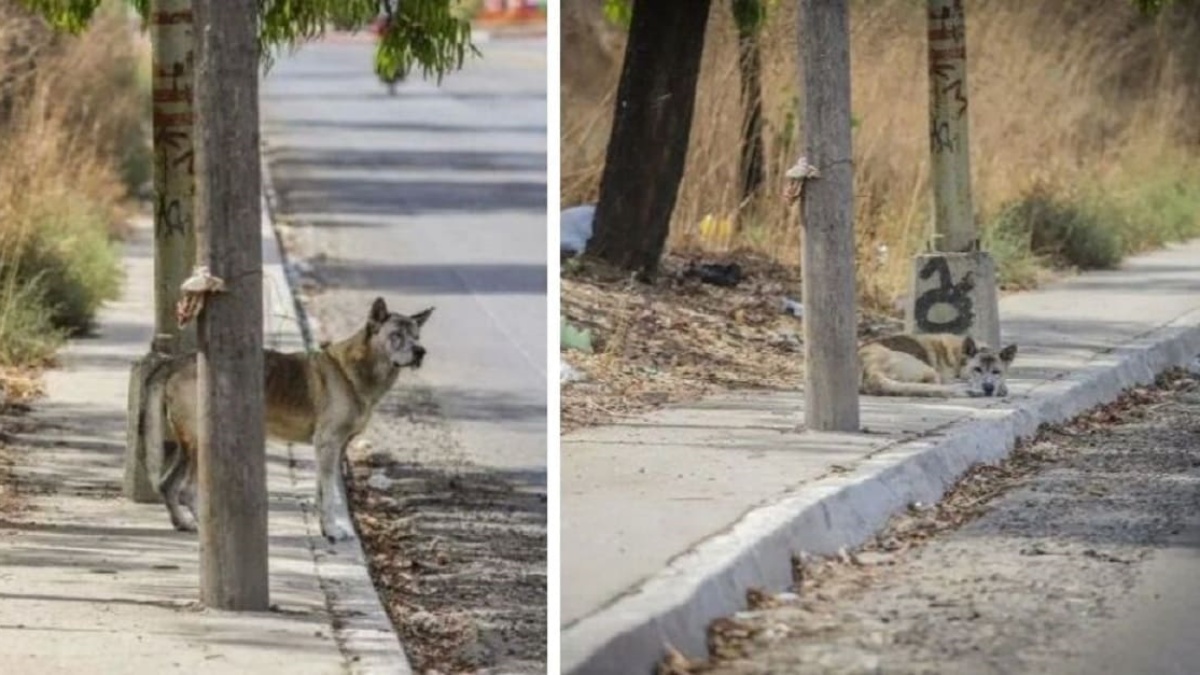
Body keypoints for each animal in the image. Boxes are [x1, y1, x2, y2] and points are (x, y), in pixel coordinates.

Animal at [138, 296, 434, 538]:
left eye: (417, 335)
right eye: (396, 335)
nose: (420, 352)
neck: (356, 370)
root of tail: (175, 361)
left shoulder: (333, 449)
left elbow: (322, 492)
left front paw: (326, 528)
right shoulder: (328, 444)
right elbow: (331, 495)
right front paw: (334, 530)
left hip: (186, 445)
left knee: (167, 484)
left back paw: (182, 523)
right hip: (201, 444)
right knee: (187, 490)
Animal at [859, 331, 1017, 396]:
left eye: (996, 372)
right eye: (977, 369)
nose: (989, 388)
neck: (958, 358)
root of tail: (870, 370)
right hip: (929, 370)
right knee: (937, 385)